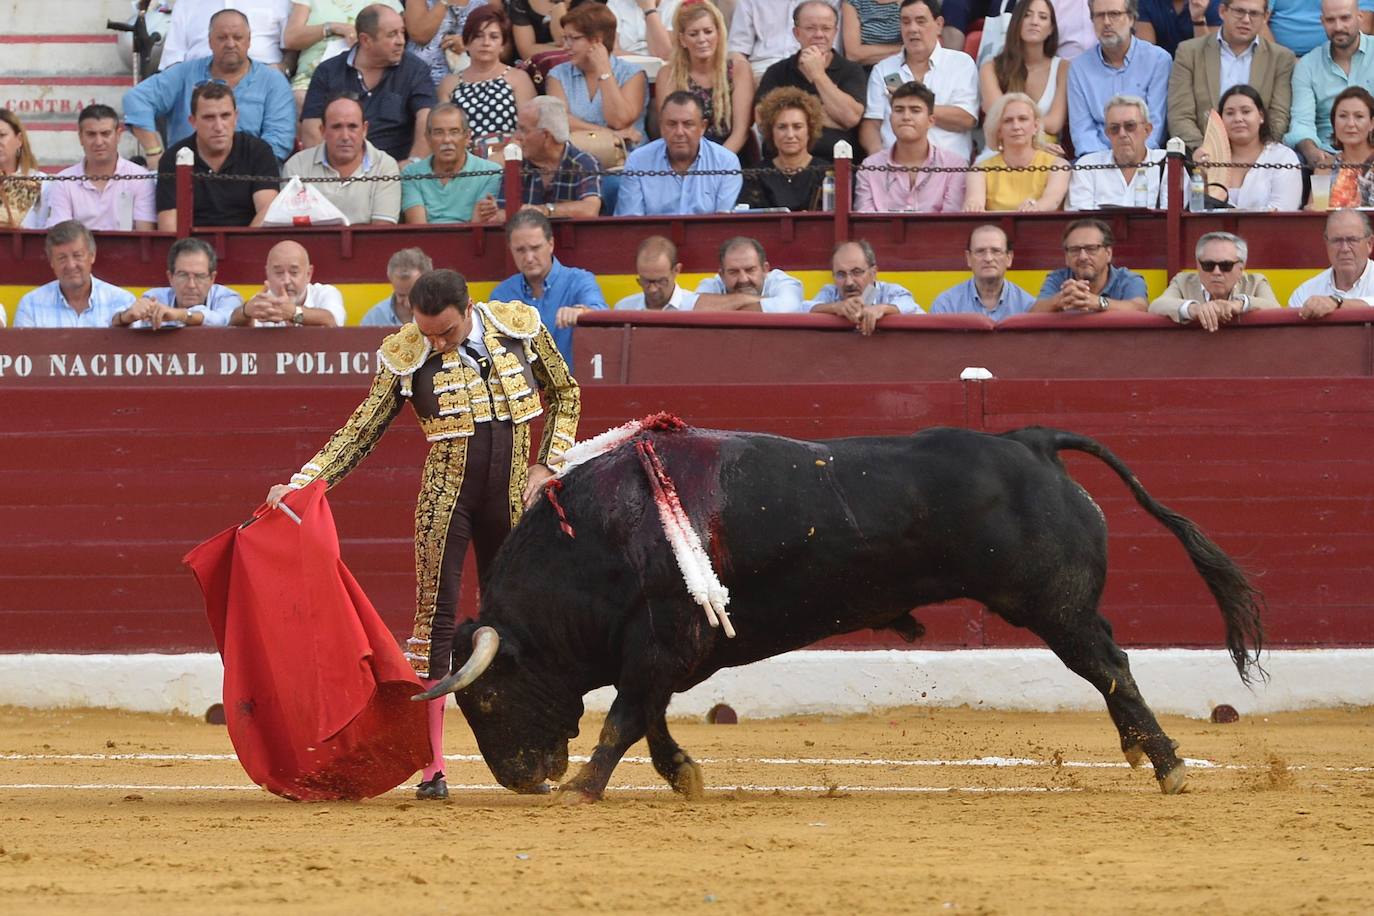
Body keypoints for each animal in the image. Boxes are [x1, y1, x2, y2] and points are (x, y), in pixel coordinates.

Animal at [417, 425, 1264, 796]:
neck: (598, 538)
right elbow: (648, 717)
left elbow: (625, 716)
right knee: (1110, 666)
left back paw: (1168, 764)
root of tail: (1031, 440)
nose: (524, 780)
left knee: (1110, 664)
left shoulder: (661, 641)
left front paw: (587, 786)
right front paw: (682, 774)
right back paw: (1146, 756)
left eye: (484, 699)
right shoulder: (671, 649)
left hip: (1054, 606)